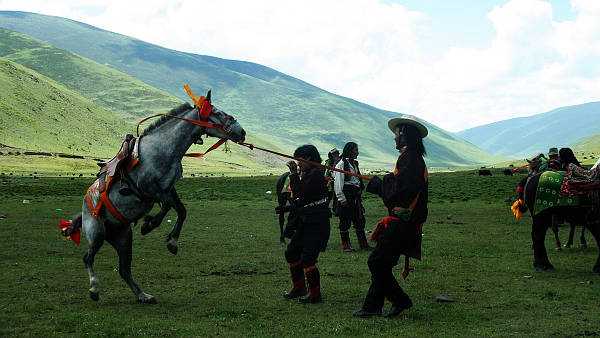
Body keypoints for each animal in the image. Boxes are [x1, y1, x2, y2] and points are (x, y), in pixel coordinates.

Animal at [69, 90, 246, 304]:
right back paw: (94, 288)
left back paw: (143, 295)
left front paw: (165, 236)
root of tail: (84, 211)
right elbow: (170, 207)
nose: (242, 132)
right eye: (218, 113)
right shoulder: (148, 188)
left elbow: (180, 210)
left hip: (123, 239)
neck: (164, 148)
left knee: (124, 270)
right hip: (97, 233)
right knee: (88, 258)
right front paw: (156, 228)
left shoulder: (167, 188)